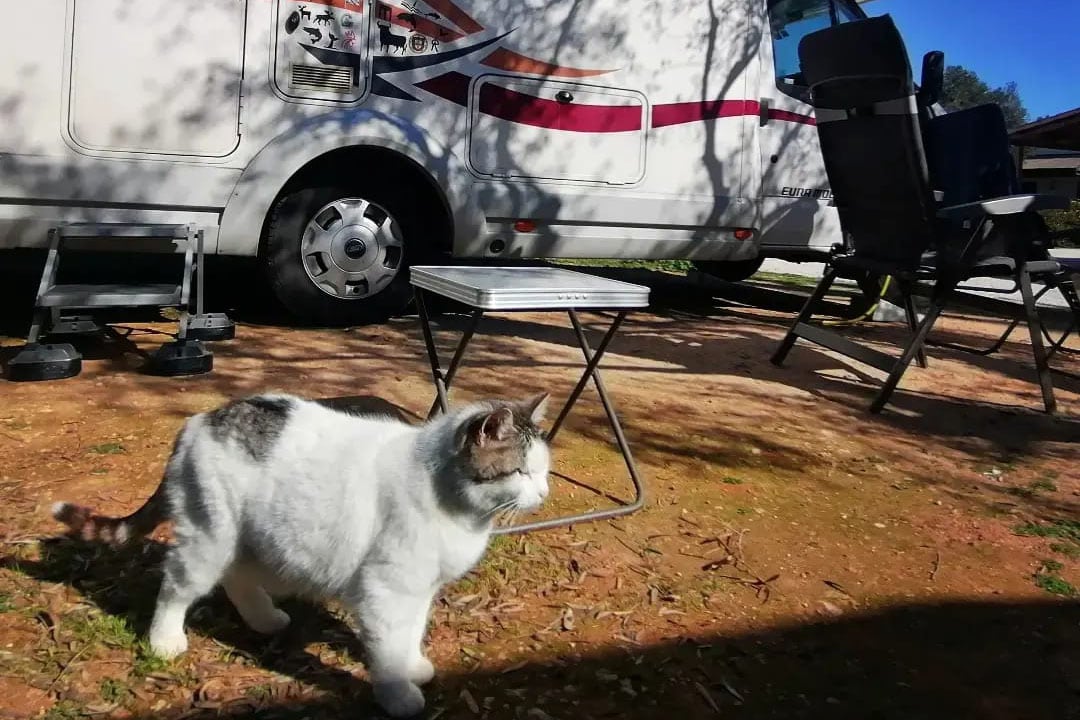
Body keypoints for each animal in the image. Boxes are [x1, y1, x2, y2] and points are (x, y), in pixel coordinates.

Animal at [51, 392, 551, 717]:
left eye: (544, 471)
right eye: (521, 472)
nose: (544, 493)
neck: (450, 497)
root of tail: (201, 419)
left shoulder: (419, 590)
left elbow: (410, 634)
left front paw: (414, 667)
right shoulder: (387, 591)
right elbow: (389, 648)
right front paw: (399, 696)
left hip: (255, 537)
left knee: (237, 578)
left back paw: (265, 620)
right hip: (209, 536)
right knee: (176, 585)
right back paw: (165, 642)